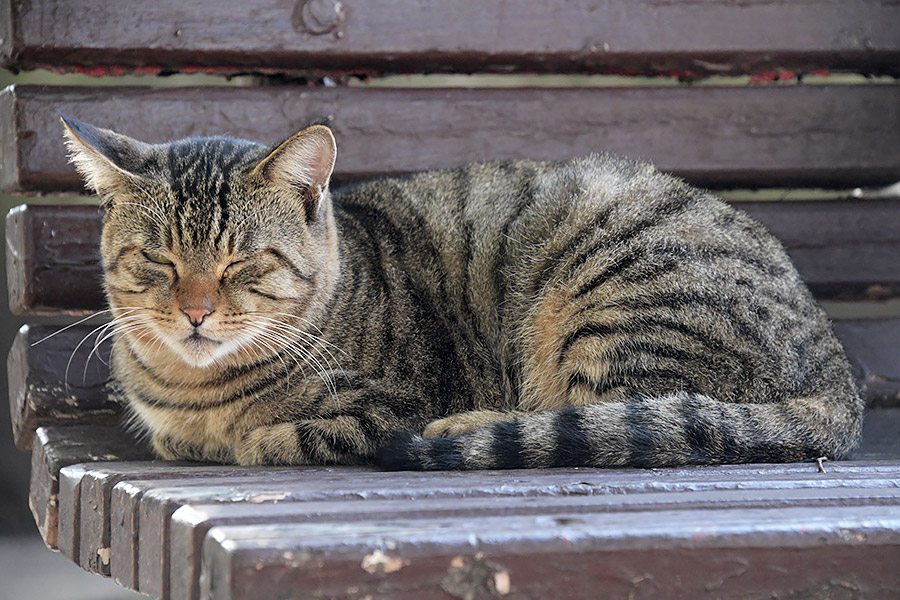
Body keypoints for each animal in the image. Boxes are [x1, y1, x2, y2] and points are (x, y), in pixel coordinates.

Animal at [59, 113, 860, 468]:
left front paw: (253, 438)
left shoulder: (390, 401)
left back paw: (464, 428)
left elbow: (278, 439)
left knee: (610, 418)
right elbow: (179, 440)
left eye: (243, 264)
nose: (194, 312)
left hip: (607, 304)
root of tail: (836, 370)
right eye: (158, 261)